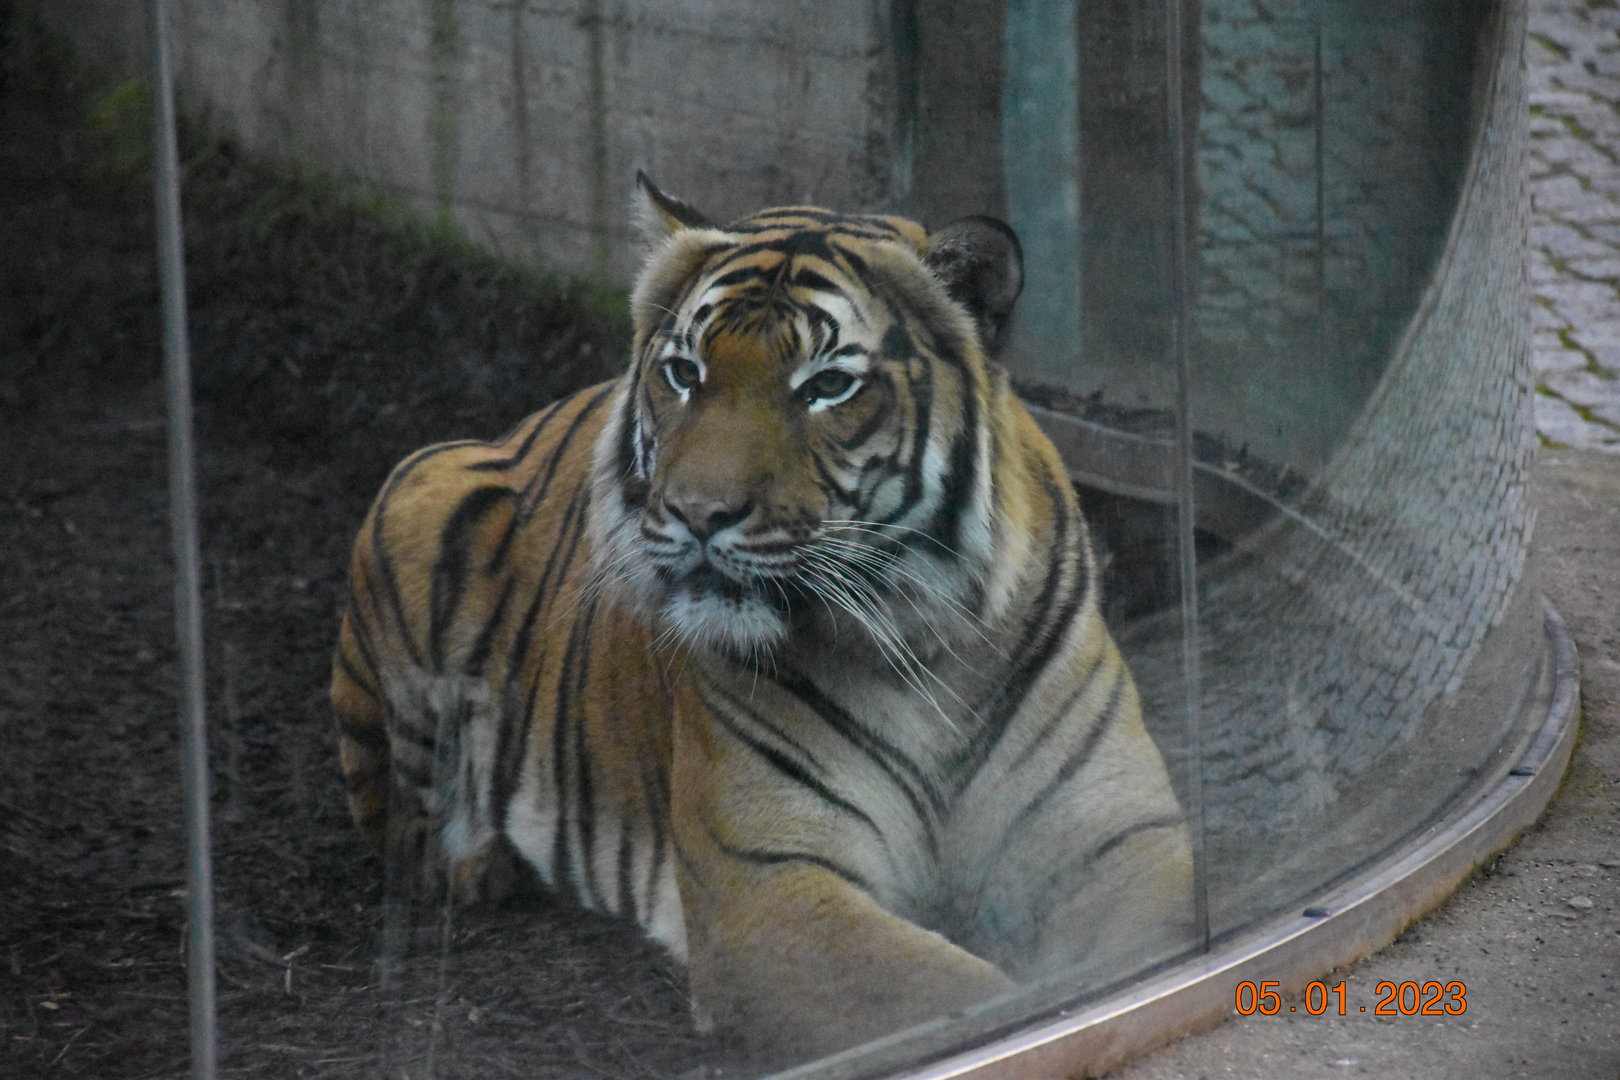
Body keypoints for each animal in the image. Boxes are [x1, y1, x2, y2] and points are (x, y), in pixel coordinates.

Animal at [330, 172, 1195, 1062]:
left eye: (827, 386)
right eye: (684, 372)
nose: (698, 513)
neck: (928, 651)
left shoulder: (1121, 838)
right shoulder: (767, 887)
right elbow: (961, 996)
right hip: (418, 487)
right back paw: (488, 863)